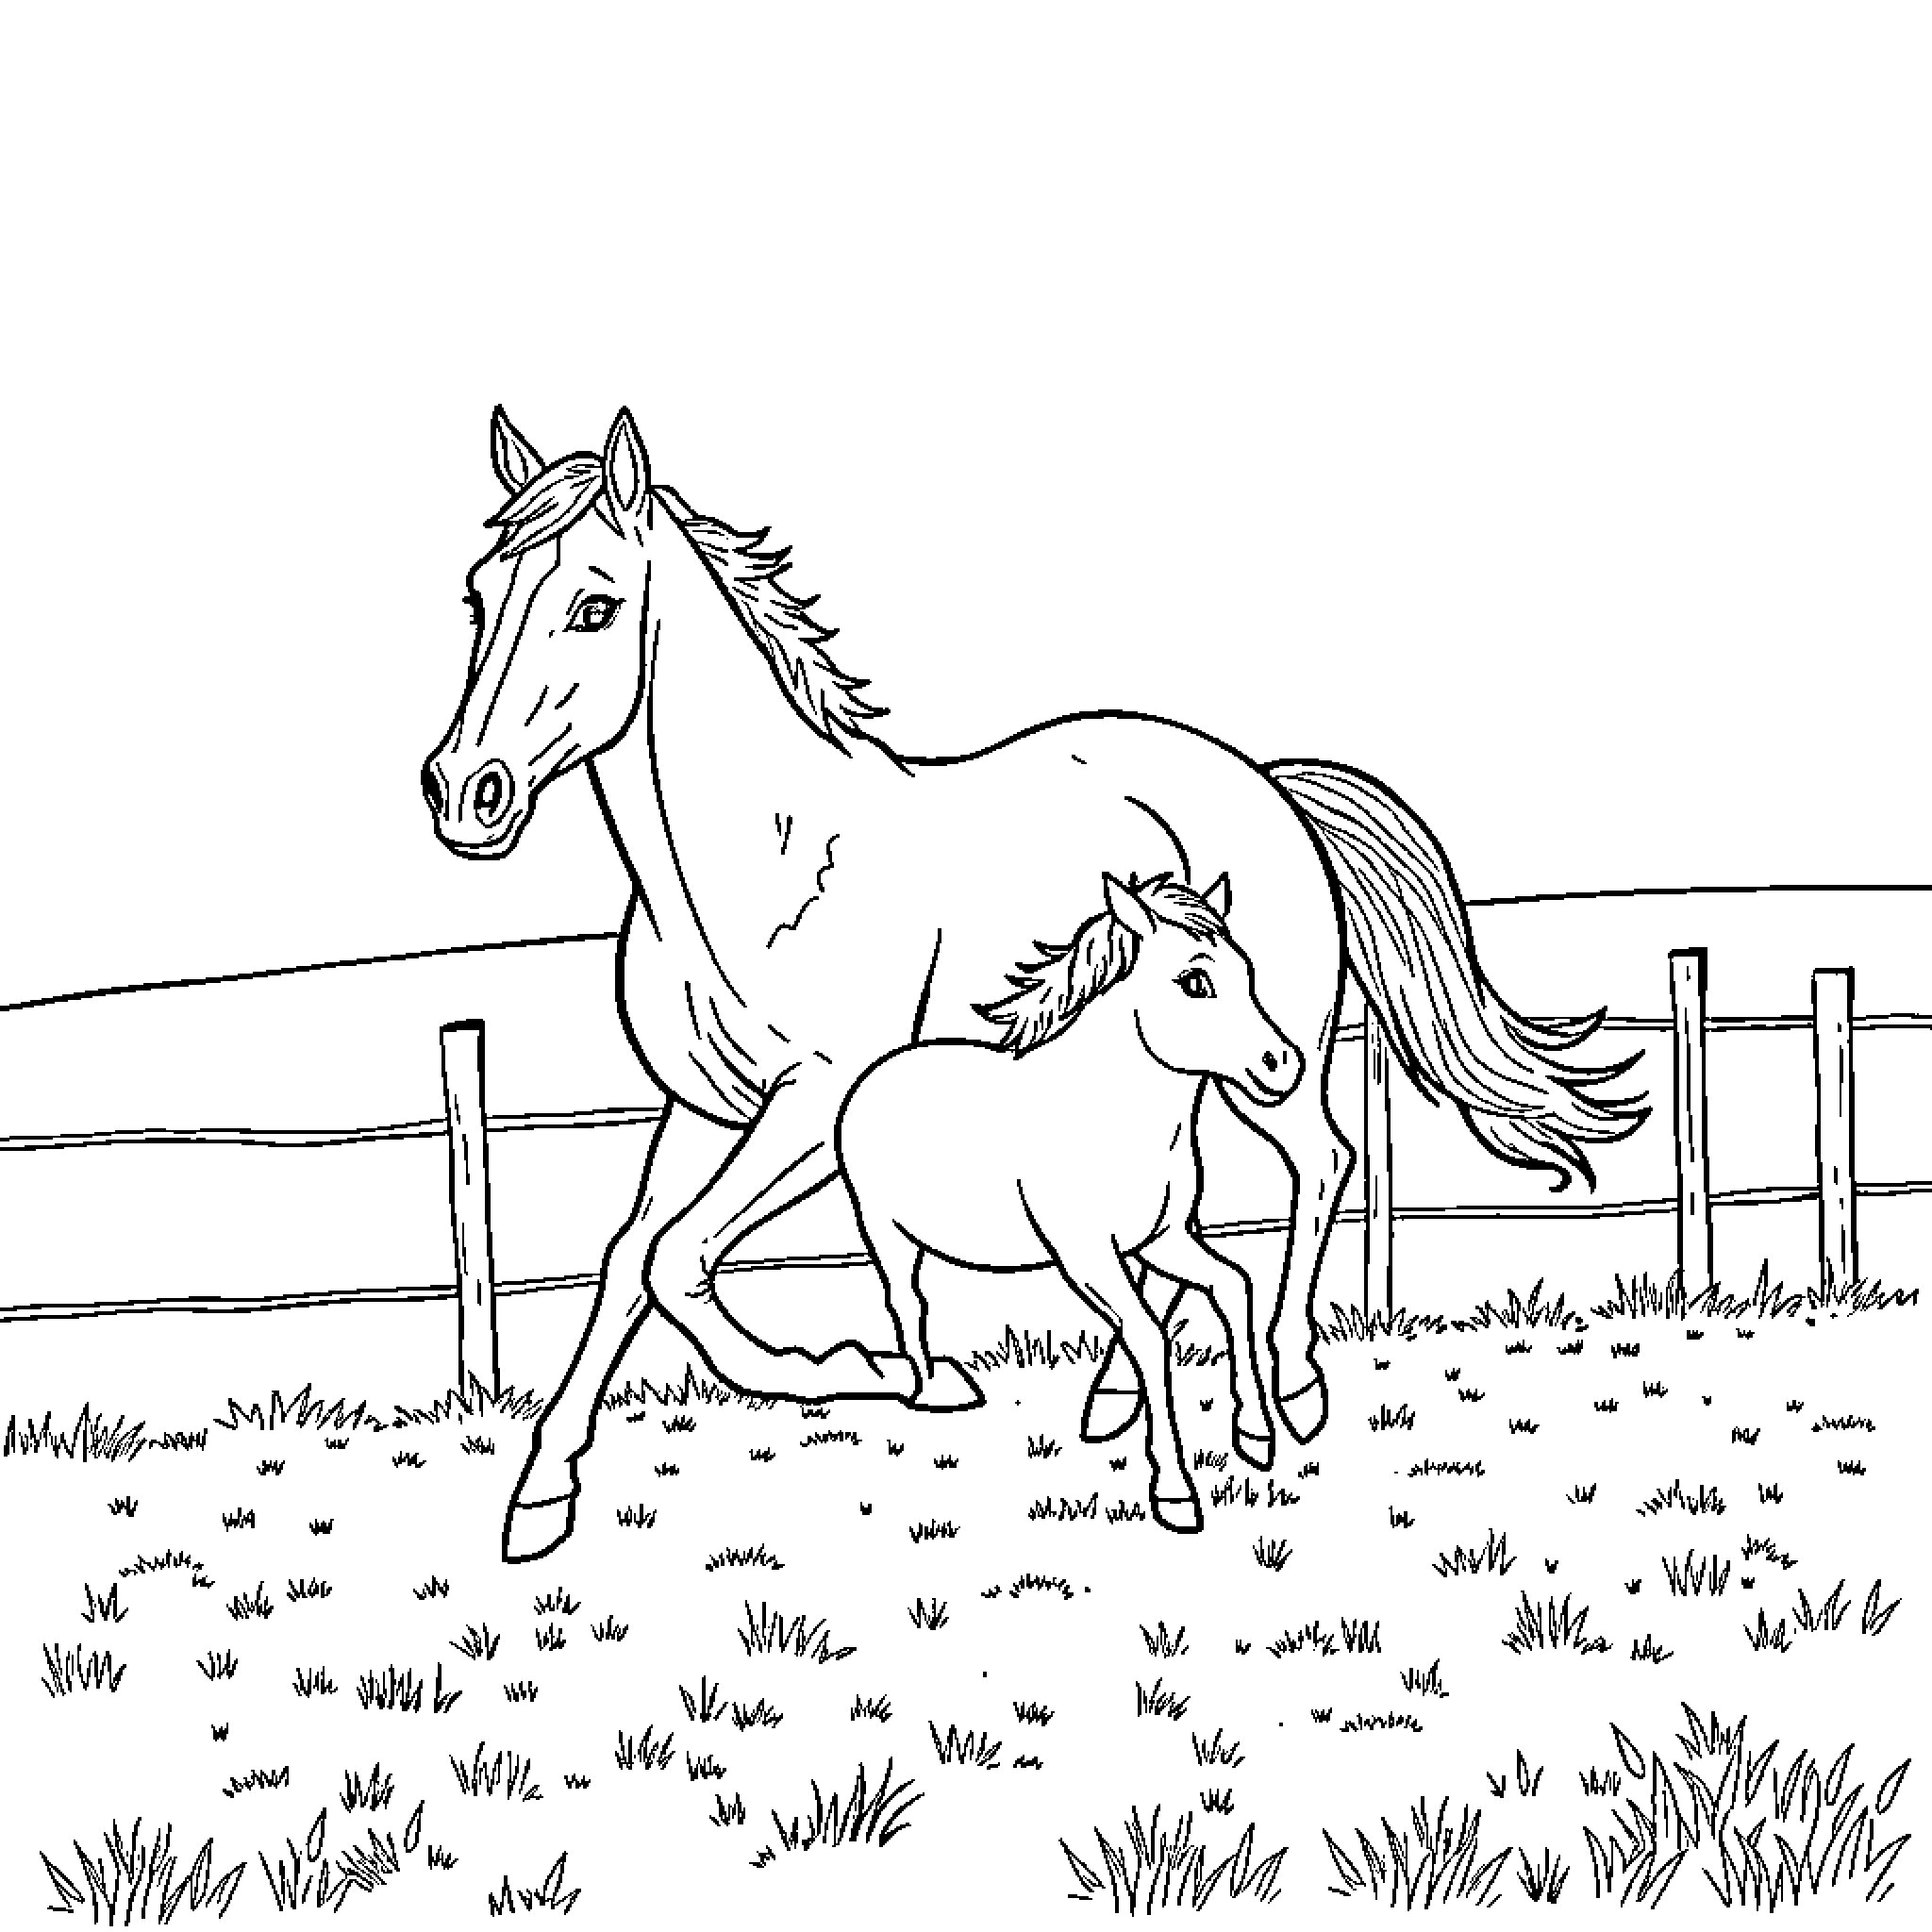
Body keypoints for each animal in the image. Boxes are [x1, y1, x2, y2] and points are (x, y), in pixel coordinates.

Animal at [837, 870, 1302, 1533]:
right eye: (1194, 981)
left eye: (1248, 972)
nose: (1284, 1066)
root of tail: (881, 1070)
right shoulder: (1086, 1258)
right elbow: (1148, 1336)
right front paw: (1175, 1495)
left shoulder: (1163, 1240)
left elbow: (1234, 1286)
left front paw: (1256, 1437)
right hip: (884, 1232)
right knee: (905, 1302)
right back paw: (936, 1394)